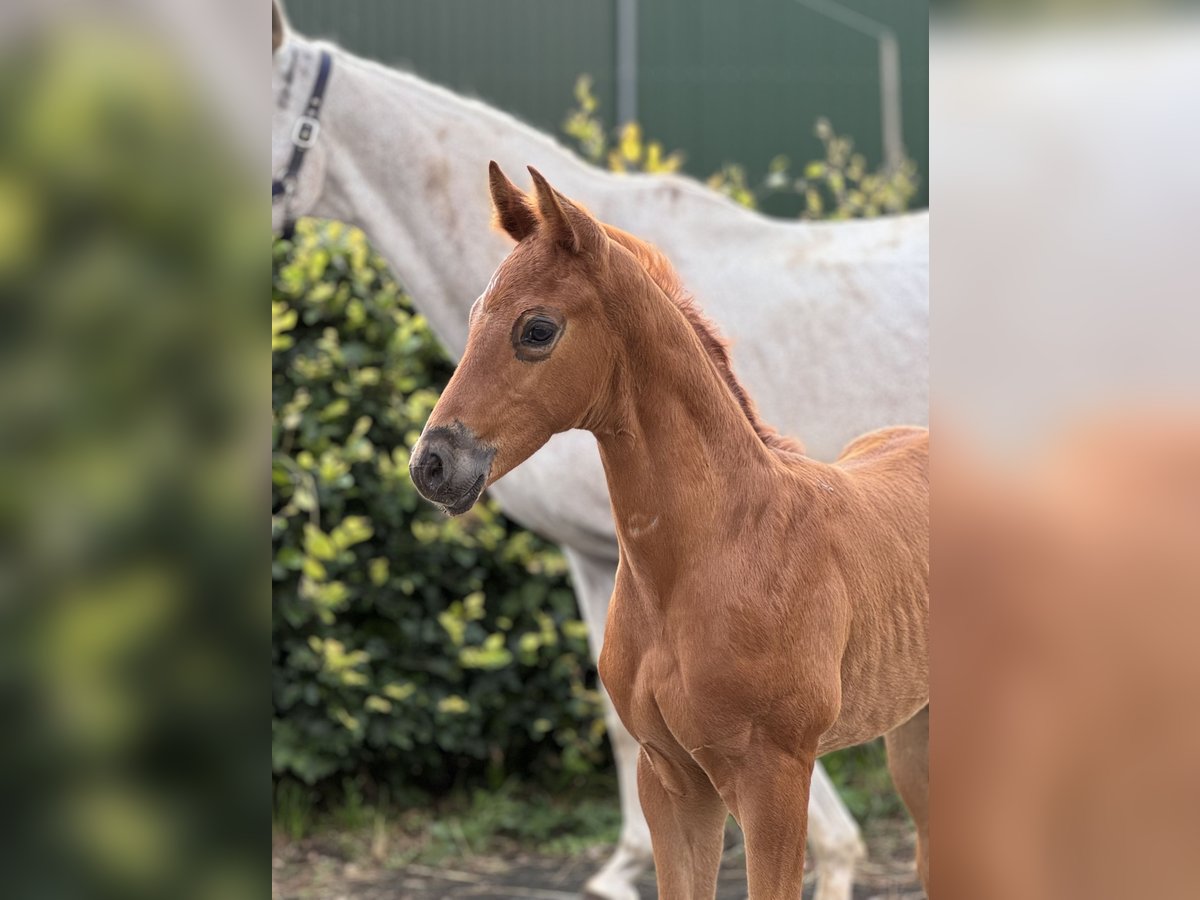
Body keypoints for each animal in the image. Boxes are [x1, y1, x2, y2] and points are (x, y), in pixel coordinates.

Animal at [410, 165, 926, 897]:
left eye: (537, 329)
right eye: (476, 310)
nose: (432, 464)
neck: (717, 550)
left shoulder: (775, 779)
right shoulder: (672, 780)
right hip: (913, 732)